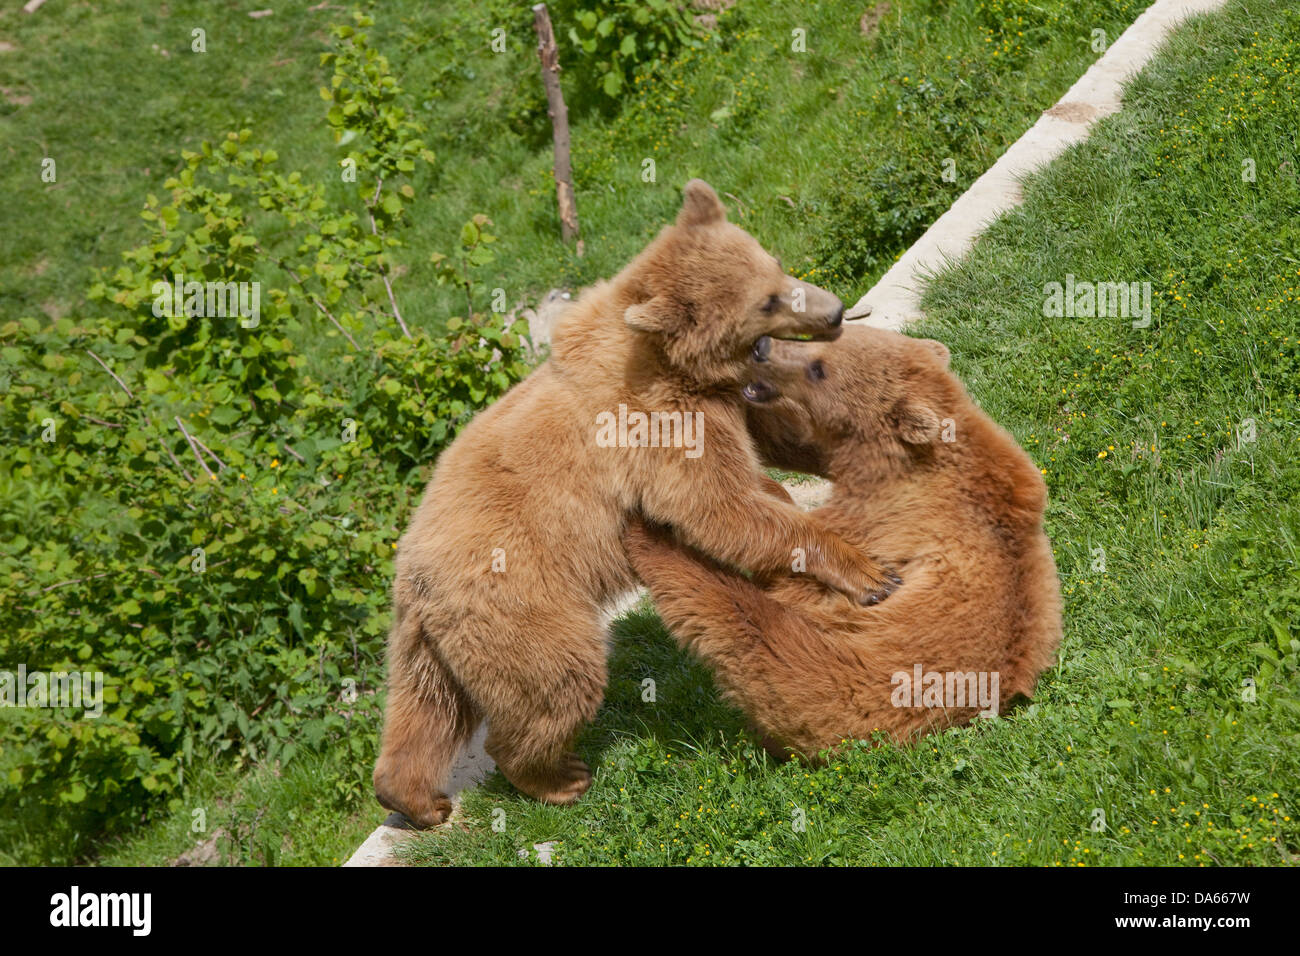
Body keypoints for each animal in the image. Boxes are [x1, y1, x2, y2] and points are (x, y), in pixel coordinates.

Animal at [371, 183, 899, 827]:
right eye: (768, 299)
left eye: (774, 262)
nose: (836, 310)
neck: (673, 362)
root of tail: (415, 576)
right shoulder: (657, 426)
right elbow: (719, 507)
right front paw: (871, 573)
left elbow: (757, 468)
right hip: (521, 598)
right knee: (558, 678)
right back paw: (558, 776)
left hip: (432, 634)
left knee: (427, 706)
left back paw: (417, 799)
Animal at [624, 325, 1060, 759]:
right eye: (843, 330)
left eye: (819, 369)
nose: (762, 347)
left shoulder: (882, 515)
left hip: (853, 664)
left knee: (740, 617)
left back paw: (646, 531)